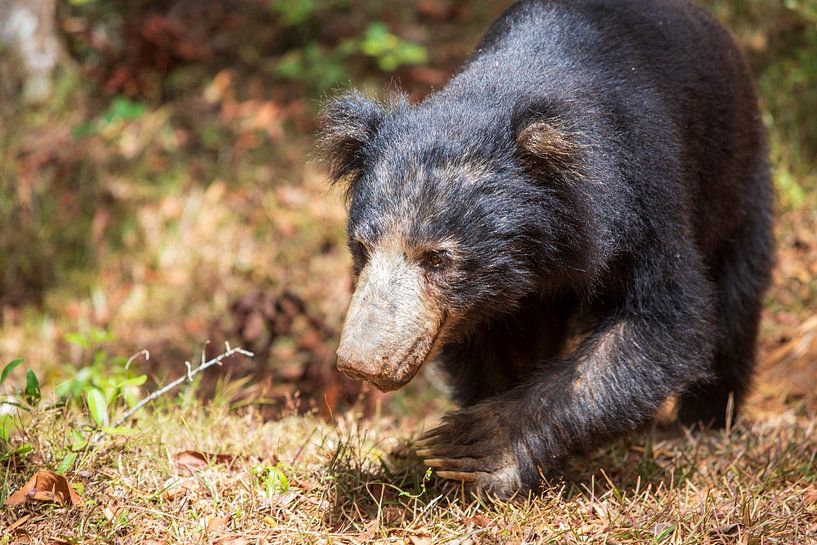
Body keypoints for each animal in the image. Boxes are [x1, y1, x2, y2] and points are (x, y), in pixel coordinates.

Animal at [318, 0, 774, 498]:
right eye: (362, 248)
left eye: (437, 258)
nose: (361, 363)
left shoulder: (641, 197)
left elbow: (664, 320)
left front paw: (477, 449)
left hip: (737, 182)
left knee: (735, 299)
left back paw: (703, 423)